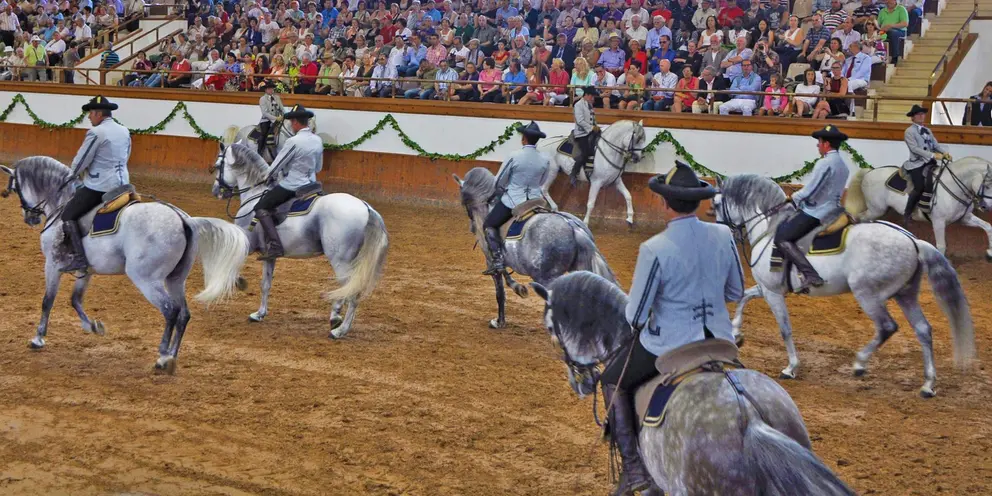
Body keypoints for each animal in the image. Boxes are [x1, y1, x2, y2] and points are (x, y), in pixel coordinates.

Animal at [1, 157, 249, 374]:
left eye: (15, 189)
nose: (30, 218)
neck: (60, 204)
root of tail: (184, 220)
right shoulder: (85, 270)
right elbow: (75, 299)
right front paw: (93, 326)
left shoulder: (52, 265)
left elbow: (47, 301)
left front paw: (38, 338)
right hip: (175, 279)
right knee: (184, 314)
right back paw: (172, 356)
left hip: (146, 279)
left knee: (170, 310)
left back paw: (162, 357)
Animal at [211, 143, 389, 339]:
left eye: (218, 165)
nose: (216, 191)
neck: (254, 194)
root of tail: (366, 207)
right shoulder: (269, 254)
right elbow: (265, 284)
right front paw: (259, 314)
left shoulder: (247, 244)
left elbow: (233, 265)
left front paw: (239, 283)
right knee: (348, 289)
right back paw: (335, 316)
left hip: (340, 260)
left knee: (353, 293)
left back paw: (339, 331)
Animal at [452, 167, 617, 329]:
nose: (473, 227)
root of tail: (573, 228)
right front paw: (519, 290)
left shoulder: (491, 260)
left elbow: (500, 291)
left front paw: (500, 321)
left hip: (546, 277)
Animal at [713, 174, 975, 397]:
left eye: (716, 204)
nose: (722, 229)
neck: (769, 229)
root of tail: (912, 240)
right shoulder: (768, 288)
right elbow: (744, 297)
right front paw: (736, 334)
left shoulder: (772, 292)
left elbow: (784, 329)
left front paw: (790, 368)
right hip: (905, 295)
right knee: (923, 330)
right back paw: (928, 385)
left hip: (867, 294)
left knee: (887, 327)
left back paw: (860, 364)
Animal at [844, 157, 992, 258]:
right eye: (987, 184)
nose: (987, 206)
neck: (953, 186)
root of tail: (870, 172)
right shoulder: (938, 222)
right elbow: (941, 246)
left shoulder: (965, 218)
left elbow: (988, 226)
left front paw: (989, 252)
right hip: (876, 209)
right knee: (860, 218)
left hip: (876, 210)